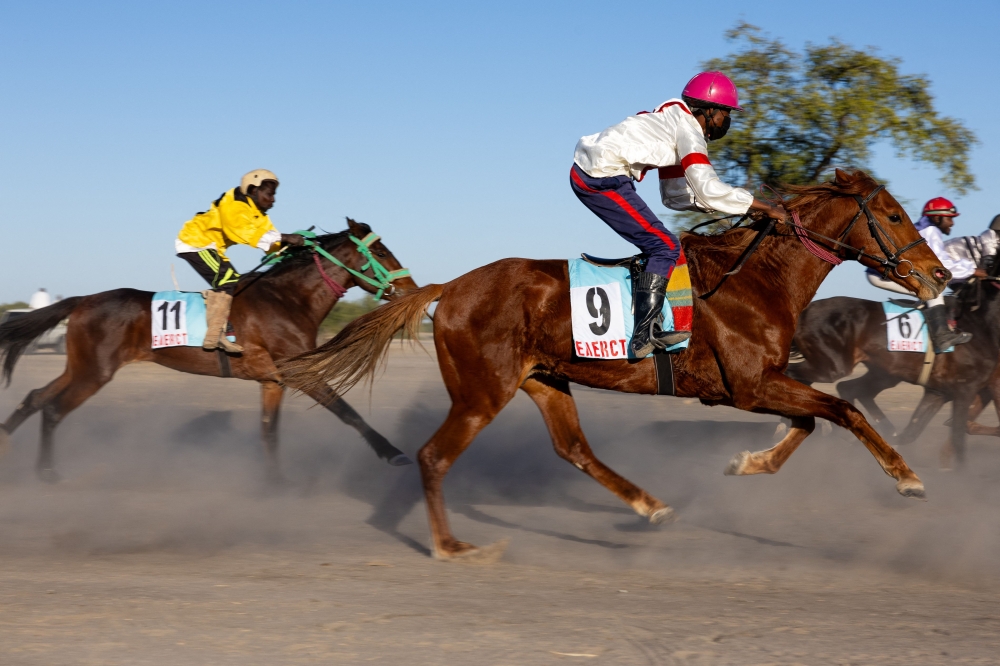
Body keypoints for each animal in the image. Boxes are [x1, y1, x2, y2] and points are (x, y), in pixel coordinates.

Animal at [0, 218, 416, 482]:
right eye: (381, 251)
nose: (410, 288)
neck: (288, 299)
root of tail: (82, 299)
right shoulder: (299, 372)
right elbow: (348, 413)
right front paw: (393, 452)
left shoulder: (273, 381)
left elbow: (269, 432)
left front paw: (274, 482)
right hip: (95, 371)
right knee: (53, 409)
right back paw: (47, 472)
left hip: (79, 366)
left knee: (36, 397)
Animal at [278, 169, 948, 556]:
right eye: (893, 215)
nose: (939, 274)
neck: (756, 280)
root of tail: (453, 286)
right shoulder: (749, 385)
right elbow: (844, 410)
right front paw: (908, 477)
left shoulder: (759, 385)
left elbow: (814, 419)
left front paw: (747, 463)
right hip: (481, 391)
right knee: (434, 456)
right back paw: (449, 546)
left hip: (544, 380)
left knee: (574, 449)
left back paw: (651, 507)